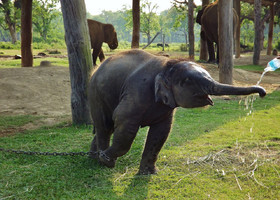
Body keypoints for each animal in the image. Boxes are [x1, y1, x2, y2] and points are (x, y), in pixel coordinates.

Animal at [88, 49, 266, 174]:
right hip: (95, 94)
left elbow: (161, 132)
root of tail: (97, 68)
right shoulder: (137, 91)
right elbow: (125, 123)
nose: (262, 93)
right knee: (105, 125)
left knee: (107, 127)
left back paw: (92, 157)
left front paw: (149, 174)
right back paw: (102, 160)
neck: (168, 65)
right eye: (188, 81)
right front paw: (106, 161)